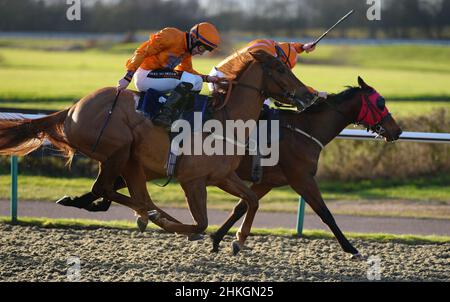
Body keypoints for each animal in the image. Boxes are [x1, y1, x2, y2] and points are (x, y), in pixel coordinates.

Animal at [0, 49, 310, 248]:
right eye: (281, 69)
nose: (307, 95)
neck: (224, 119)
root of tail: (72, 109)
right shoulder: (192, 180)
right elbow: (200, 223)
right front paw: (193, 232)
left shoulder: (223, 177)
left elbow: (252, 200)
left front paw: (239, 240)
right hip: (119, 150)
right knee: (109, 189)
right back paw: (151, 215)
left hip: (131, 162)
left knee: (126, 193)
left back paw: (143, 213)